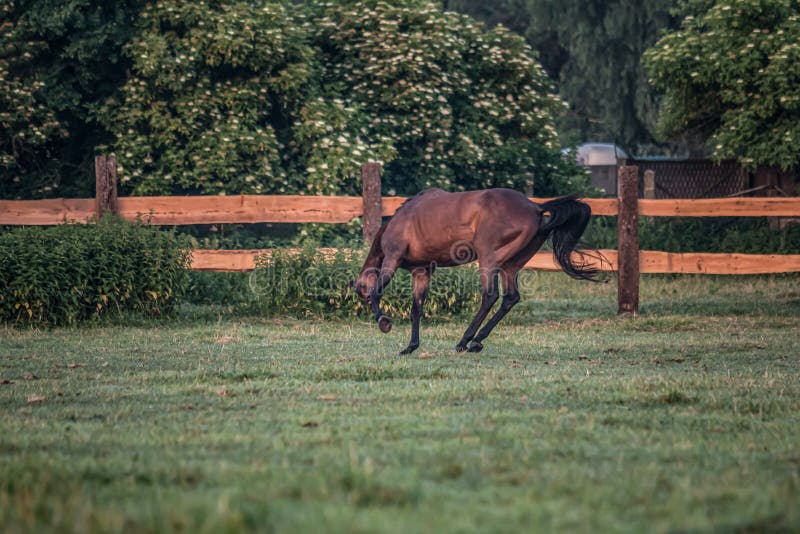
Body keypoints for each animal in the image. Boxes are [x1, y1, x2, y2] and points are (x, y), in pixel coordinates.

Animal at [352, 188, 600, 356]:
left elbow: (377, 291)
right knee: (510, 298)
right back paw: (477, 340)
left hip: (488, 259)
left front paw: (383, 321)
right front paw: (411, 347)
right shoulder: (422, 272)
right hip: (510, 266)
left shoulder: (392, 260)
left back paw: (464, 341)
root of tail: (535, 207)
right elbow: (416, 310)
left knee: (490, 296)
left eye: (361, 295)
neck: (399, 221)